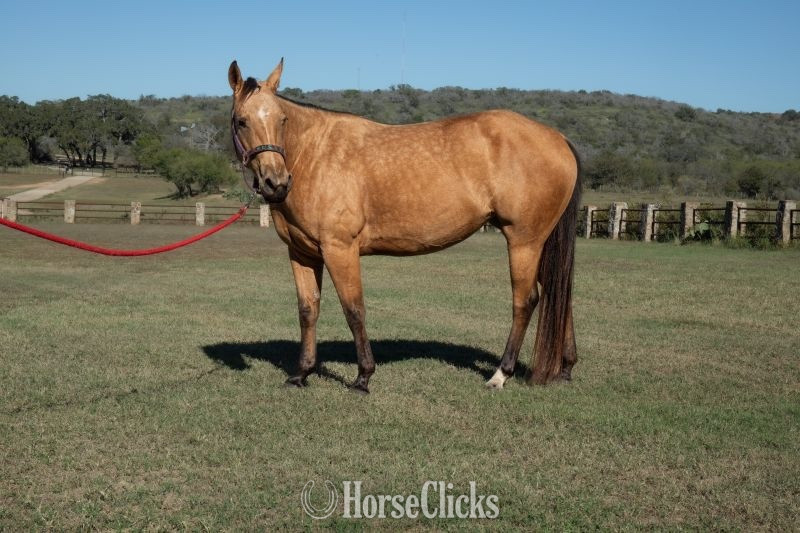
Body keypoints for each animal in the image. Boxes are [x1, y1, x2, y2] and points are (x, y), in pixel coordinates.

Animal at [229, 59, 581, 393]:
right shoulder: (302, 253)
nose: (276, 182)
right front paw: (301, 374)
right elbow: (308, 310)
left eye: (282, 120)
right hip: (541, 243)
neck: (313, 155)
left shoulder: (340, 249)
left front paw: (363, 377)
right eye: (242, 121)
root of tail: (559, 138)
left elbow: (354, 310)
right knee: (559, 294)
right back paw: (565, 368)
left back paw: (500, 375)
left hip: (524, 242)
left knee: (525, 301)